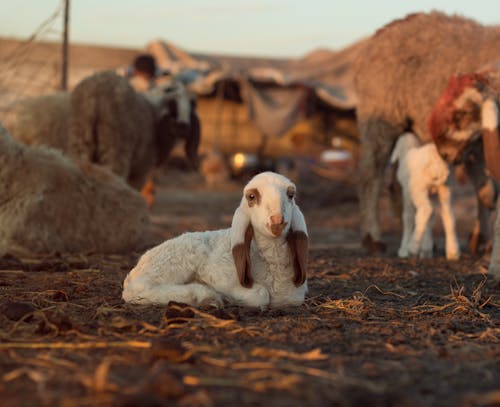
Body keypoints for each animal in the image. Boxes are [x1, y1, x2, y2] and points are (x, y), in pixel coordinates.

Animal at [122, 172, 308, 310]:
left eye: (291, 195)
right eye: (252, 196)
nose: (277, 220)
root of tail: (138, 265)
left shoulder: (295, 294)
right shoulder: (216, 273)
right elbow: (261, 295)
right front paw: (229, 297)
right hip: (174, 262)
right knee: (138, 289)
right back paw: (205, 296)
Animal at [390, 134, 460, 262]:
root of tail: (438, 166)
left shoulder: (407, 192)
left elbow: (408, 218)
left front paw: (403, 250)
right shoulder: (431, 193)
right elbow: (431, 219)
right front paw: (426, 250)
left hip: (418, 188)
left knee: (425, 210)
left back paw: (412, 247)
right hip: (446, 188)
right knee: (448, 215)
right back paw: (453, 252)